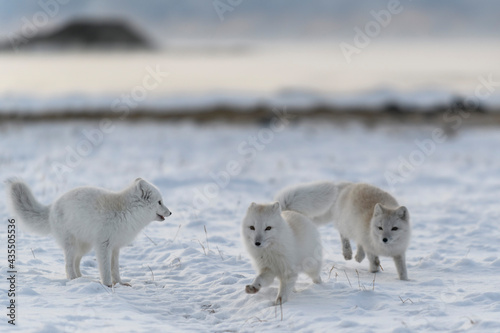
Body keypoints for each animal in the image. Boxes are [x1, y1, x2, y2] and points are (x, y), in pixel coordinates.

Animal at [6, 178, 172, 286]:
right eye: (159, 202)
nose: (171, 212)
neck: (126, 212)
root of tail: (51, 206)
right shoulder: (103, 245)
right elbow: (105, 270)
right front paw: (108, 285)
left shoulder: (115, 247)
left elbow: (115, 269)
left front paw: (120, 283)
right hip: (72, 246)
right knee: (68, 265)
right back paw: (73, 279)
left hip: (84, 247)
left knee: (76, 262)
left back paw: (81, 278)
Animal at [276, 182, 412, 280]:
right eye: (380, 228)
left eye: (394, 228)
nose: (384, 239)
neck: (385, 249)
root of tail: (349, 185)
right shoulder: (369, 245)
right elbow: (373, 261)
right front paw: (374, 272)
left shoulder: (399, 252)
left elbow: (402, 270)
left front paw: (404, 281)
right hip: (348, 226)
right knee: (344, 235)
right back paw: (349, 253)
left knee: (358, 243)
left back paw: (357, 256)